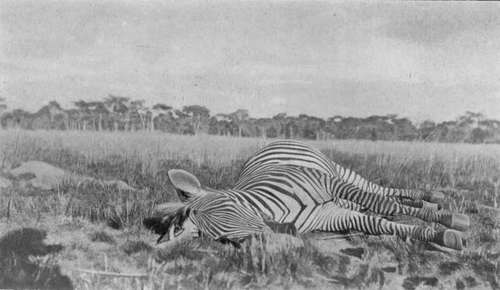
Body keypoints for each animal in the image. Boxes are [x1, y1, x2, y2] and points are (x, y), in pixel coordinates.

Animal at [144, 140, 468, 249]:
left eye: (226, 210)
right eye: (218, 238)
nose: (273, 242)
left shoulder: (328, 185)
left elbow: (383, 204)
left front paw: (448, 224)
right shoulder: (332, 216)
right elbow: (378, 223)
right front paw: (439, 235)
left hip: (340, 173)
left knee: (382, 192)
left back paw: (433, 198)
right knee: (380, 202)